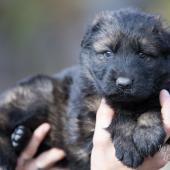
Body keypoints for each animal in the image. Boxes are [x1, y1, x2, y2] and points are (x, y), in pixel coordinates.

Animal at [0, 8, 170, 170]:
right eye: (107, 53)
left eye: (143, 55)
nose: (124, 83)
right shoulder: (88, 114)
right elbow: (119, 114)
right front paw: (128, 145)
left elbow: (153, 105)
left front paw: (147, 133)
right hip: (39, 93)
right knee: (3, 115)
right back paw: (7, 155)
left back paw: (20, 137)